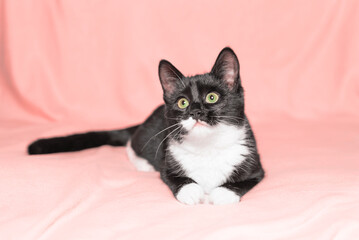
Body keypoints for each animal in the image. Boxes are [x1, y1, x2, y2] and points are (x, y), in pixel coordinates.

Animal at [28, 47, 264, 205]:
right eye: (182, 102)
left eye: (212, 97)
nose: (195, 112)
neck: (208, 148)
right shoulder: (168, 160)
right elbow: (173, 177)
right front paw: (191, 192)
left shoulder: (256, 167)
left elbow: (244, 182)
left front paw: (222, 194)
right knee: (131, 142)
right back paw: (144, 164)